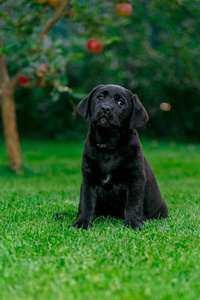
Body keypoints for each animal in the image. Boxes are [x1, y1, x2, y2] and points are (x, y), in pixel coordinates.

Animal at [72, 84, 167, 230]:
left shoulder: (135, 180)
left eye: (120, 103)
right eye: (100, 97)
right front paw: (81, 223)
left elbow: (133, 206)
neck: (108, 147)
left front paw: (133, 225)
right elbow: (86, 203)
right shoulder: (88, 179)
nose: (105, 108)